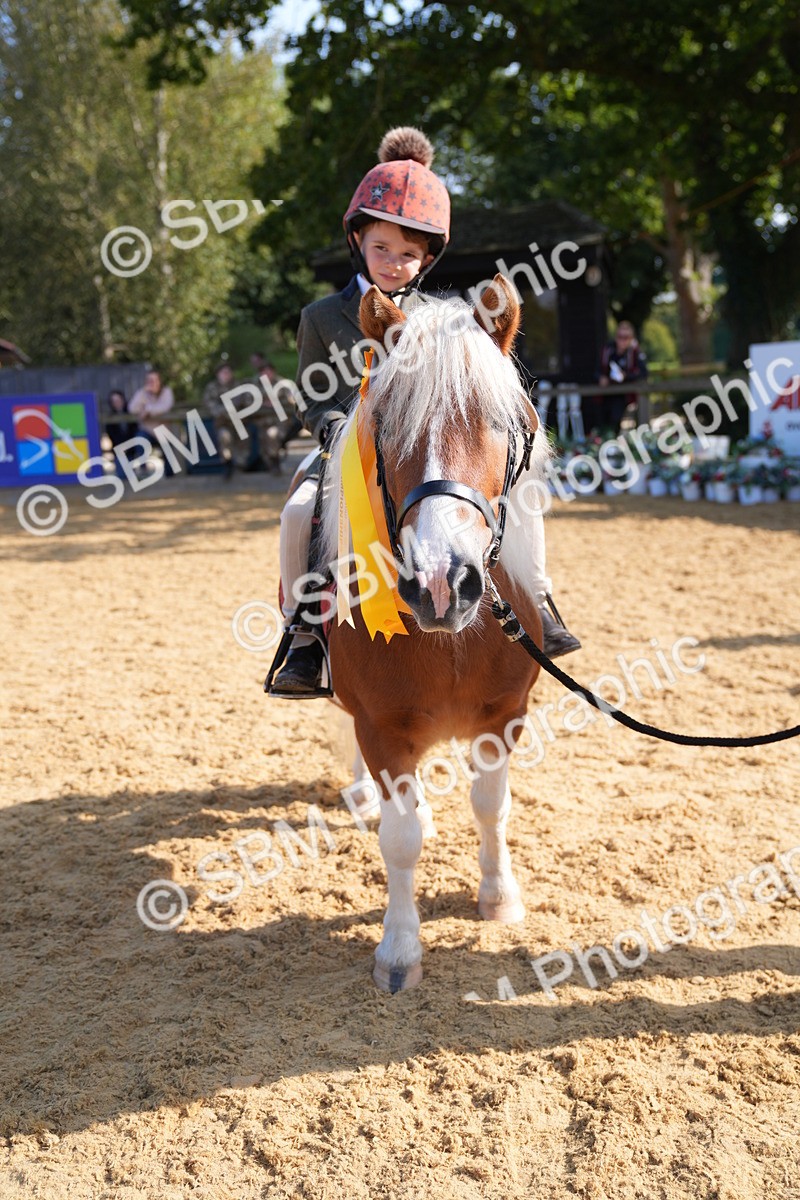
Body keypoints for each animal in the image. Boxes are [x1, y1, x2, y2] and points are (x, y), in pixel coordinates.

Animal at [318, 274, 549, 992]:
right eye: (387, 426)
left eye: (503, 424)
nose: (442, 583)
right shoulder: (383, 728)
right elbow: (400, 841)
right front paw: (398, 951)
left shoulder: (502, 717)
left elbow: (490, 807)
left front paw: (499, 898)